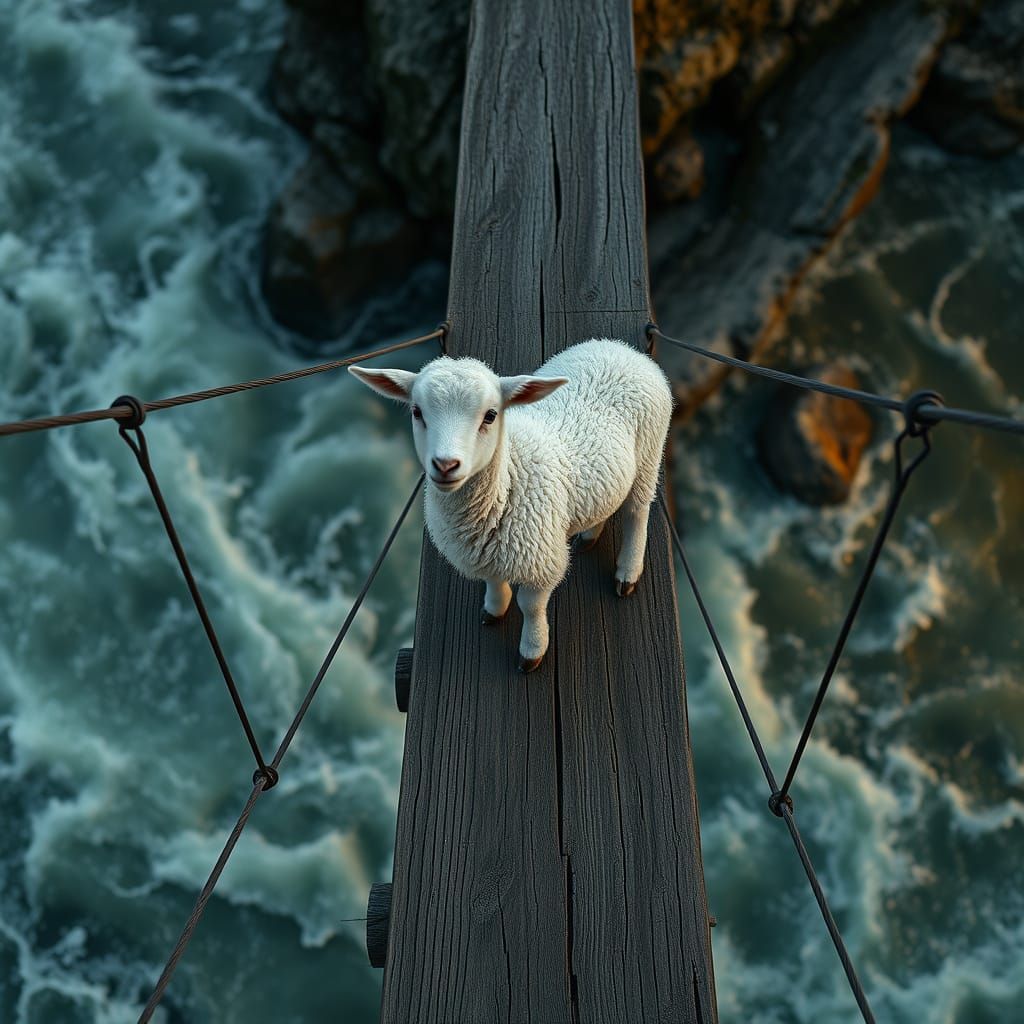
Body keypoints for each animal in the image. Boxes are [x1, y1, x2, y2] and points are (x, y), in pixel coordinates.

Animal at [349, 337, 672, 673]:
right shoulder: (485, 551)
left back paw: (627, 572)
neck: (508, 479)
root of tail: (620, 349)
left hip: (650, 453)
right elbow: (493, 579)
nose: (446, 465)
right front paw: (494, 608)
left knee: (637, 512)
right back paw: (590, 534)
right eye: (416, 411)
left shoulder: (543, 561)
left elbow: (530, 606)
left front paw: (532, 650)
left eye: (491, 415)